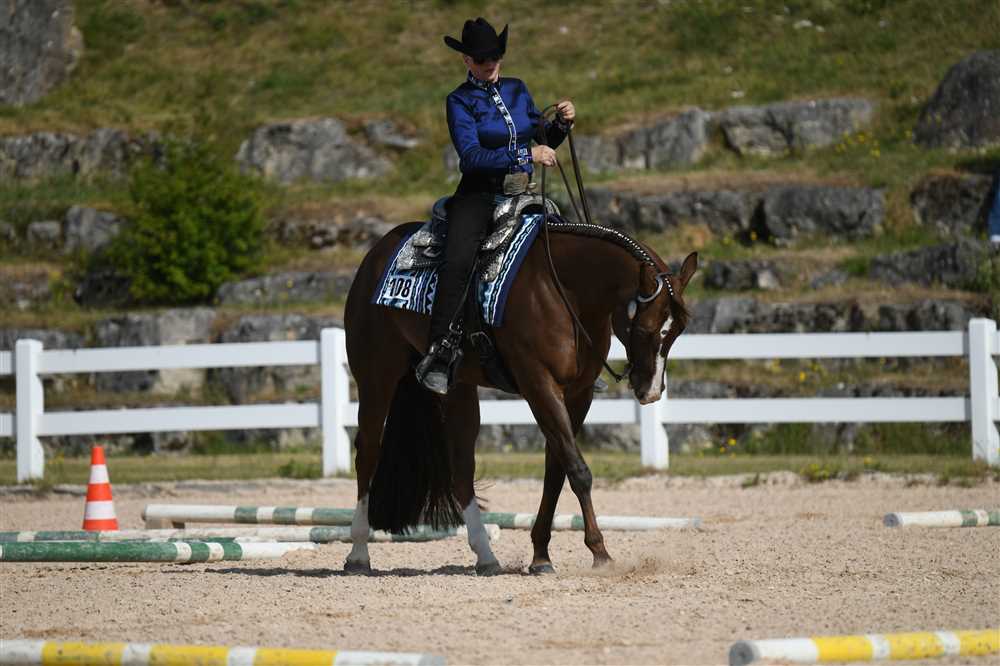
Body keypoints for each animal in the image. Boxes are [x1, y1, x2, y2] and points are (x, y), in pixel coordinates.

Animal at [342, 213, 697, 576]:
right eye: (645, 329)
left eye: (679, 330)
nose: (650, 391)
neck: (563, 288)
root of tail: (378, 252)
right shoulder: (538, 383)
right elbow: (578, 470)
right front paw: (600, 552)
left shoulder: (578, 394)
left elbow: (557, 469)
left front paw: (541, 554)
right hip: (376, 376)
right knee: (367, 453)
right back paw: (358, 554)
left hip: (459, 390)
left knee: (462, 469)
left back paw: (486, 556)